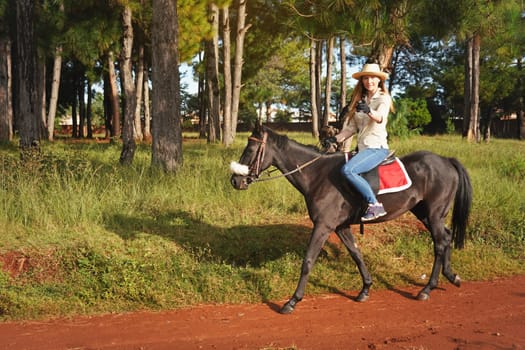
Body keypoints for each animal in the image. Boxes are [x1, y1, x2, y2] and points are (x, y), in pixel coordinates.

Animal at [229, 125, 470, 314]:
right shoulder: (341, 227)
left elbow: (308, 261)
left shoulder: (323, 226)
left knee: (439, 243)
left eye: (250, 149)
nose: (235, 180)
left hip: (434, 213)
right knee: (445, 238)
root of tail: (446, 161)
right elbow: (356, 254)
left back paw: (428, 288)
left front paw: (292, 301)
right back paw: (451, 276)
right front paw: (365, 288)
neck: (317, 175)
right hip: (424, 213)